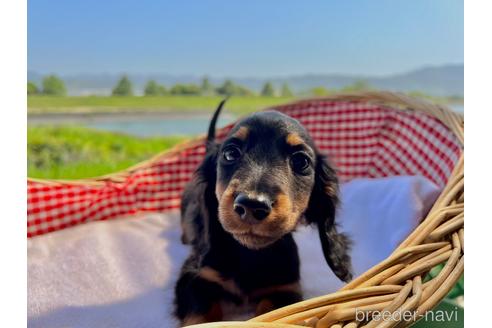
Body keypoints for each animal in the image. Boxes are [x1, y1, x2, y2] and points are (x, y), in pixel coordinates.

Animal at [175, 100, 352, 326]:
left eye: (301, 161)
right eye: (230, 153)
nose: (252, 205)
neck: (249, 253)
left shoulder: (284, 290)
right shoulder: (195, 276)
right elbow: (201, 315)